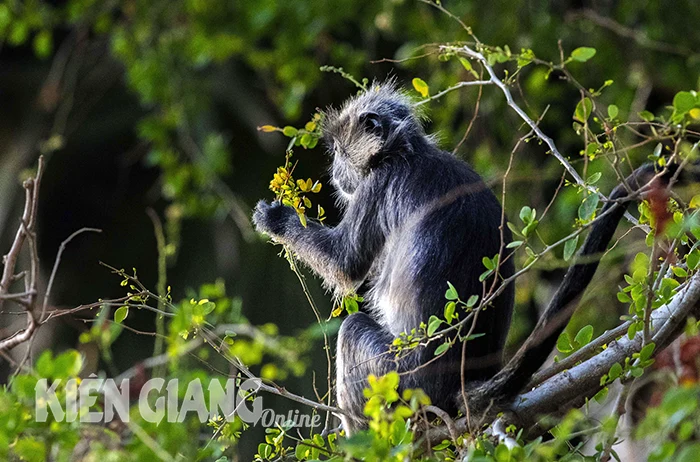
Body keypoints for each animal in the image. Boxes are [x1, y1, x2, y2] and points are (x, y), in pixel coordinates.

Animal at [253, 81, 684, 434]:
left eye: (340, 153)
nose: (335, 171)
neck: (409, 152)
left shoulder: (379, 183)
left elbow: (345, 264)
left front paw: (276, 219)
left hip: (400, 379)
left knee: (353, 328)